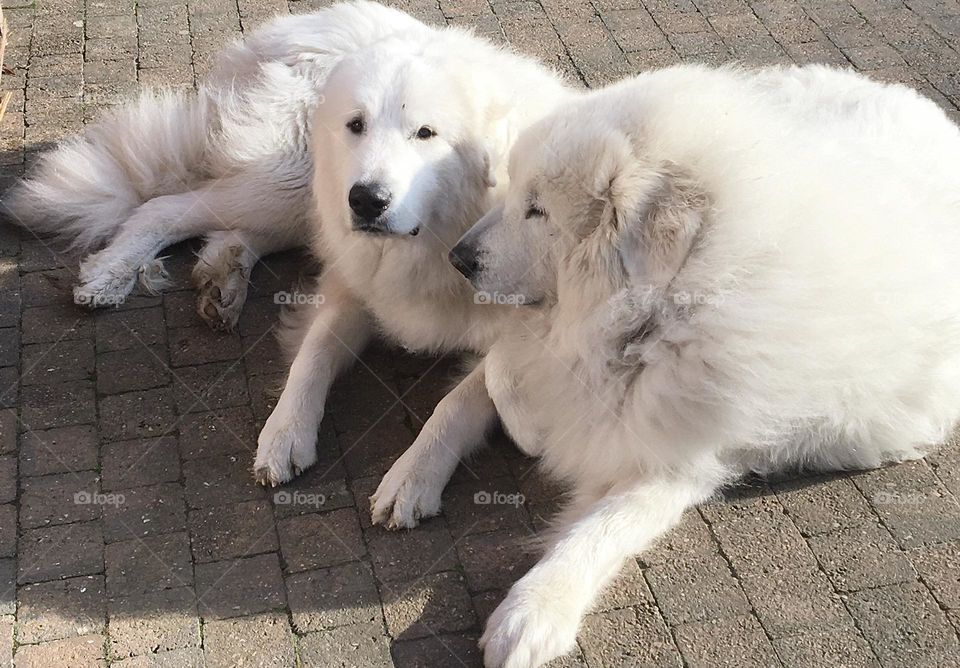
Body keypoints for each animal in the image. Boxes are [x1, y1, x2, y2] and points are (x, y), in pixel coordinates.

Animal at [398, 64, 960, 668]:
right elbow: (485, 381)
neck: (659, 318)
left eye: (538, 209)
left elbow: (596, 531)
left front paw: (530, 615)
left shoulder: (671, 461)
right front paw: (418, 472)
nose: (458, 260)